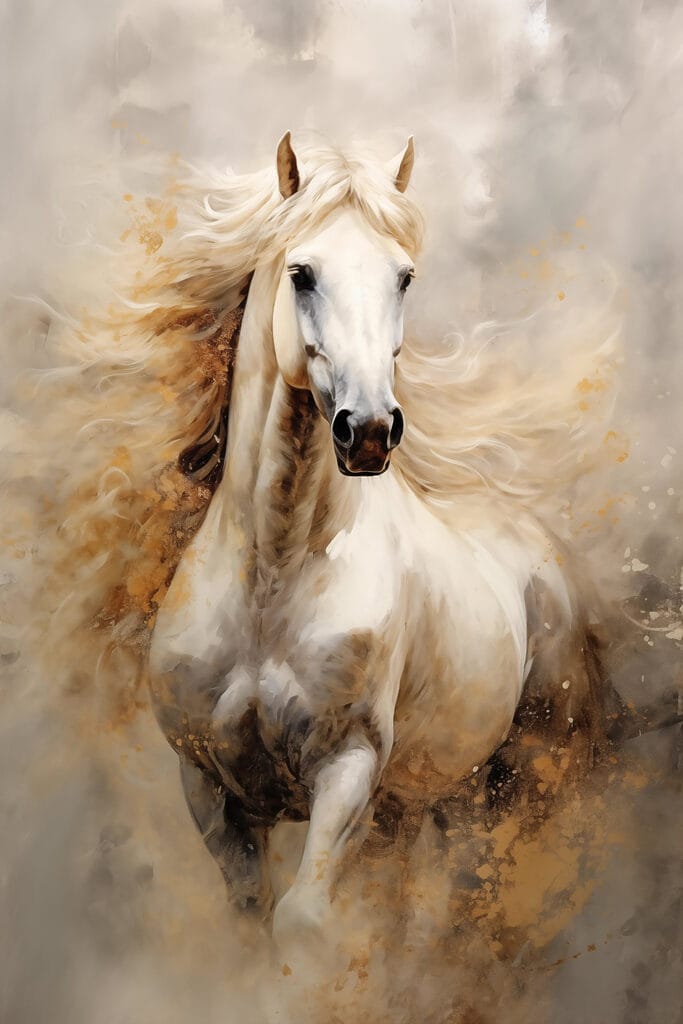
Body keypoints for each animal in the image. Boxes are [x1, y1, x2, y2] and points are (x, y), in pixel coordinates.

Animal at [147, 132, 618, 947]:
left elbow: (303, 922)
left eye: (403, 277)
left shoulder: (349, 771)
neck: (274, 577)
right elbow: (252, 923)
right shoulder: (211, 791)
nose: (367, 430)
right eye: (301, 273)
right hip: (430, 801)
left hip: (519, 779)